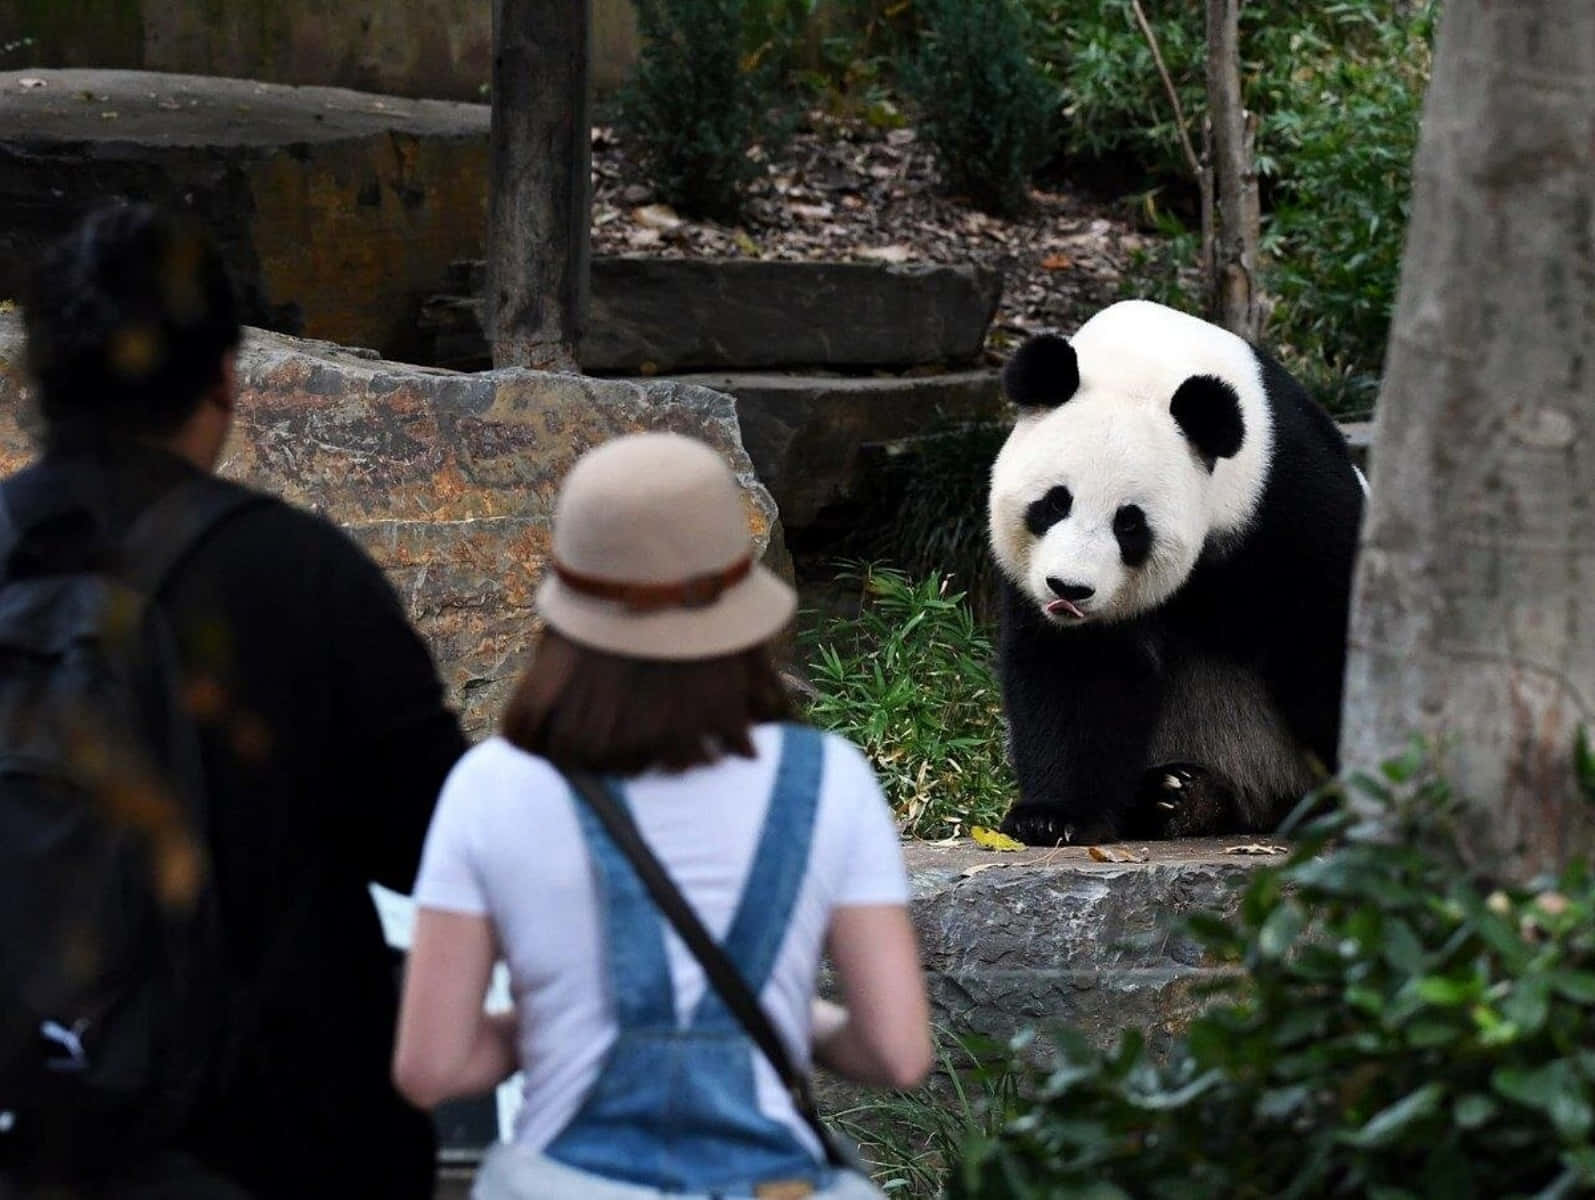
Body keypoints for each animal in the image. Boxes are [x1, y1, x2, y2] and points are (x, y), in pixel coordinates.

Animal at [988, 300, 1365, 842]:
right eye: (1055, 503)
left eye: (1129, 523)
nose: (1070, 589)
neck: (1146, 364)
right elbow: (1078, 671)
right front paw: (1052, 817)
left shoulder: (1287, 495)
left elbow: (1328, 637)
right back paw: (1176, 795)